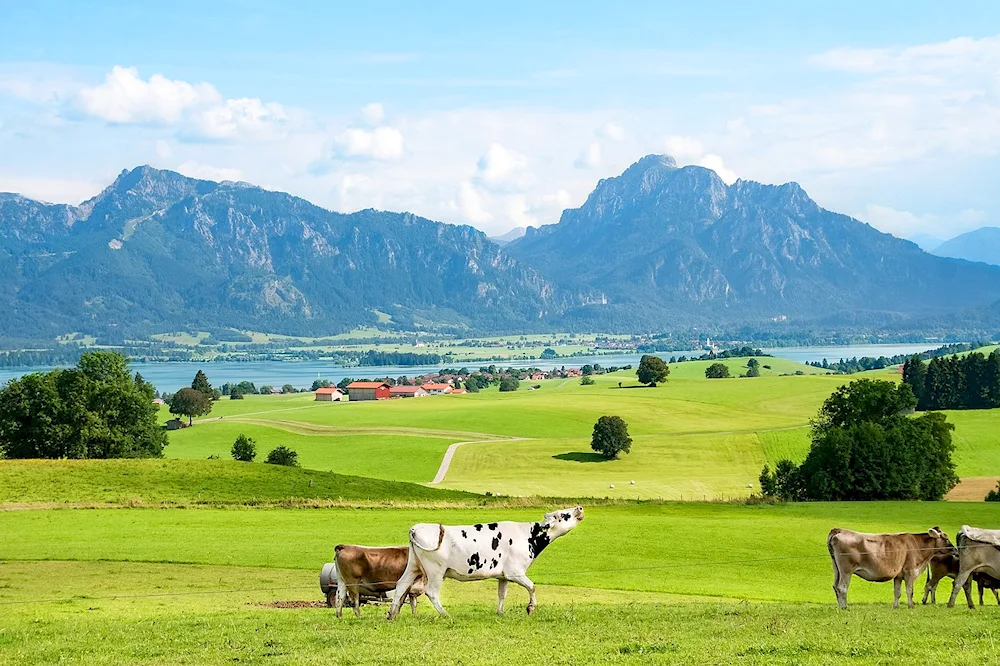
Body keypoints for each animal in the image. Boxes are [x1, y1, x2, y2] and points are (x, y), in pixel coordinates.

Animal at [384, 504, 584, 616]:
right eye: (563, 514)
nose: (580, 507)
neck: (528, 536)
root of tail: (417, 528)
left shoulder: (503, 575)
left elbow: (502, 594)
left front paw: (500, 613)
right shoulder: (516, 572)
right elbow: (532, 587)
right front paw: (530, 608)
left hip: (414, 566)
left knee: (401, 585)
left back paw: (392, 615)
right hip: (435, 571)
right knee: (431, 592)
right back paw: (445, 615)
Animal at [824, 524, 956, 608]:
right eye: (946, 538)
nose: (955, 549)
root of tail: (840, 530)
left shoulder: (898, 575)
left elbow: (897, 592)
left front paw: (895, 606)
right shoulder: (910, 572)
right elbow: (910, 591)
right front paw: (911, 606)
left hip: (836, 568)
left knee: (835, 586)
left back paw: (840, 606)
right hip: (846, 570)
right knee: (842, 587)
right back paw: (844, 607)